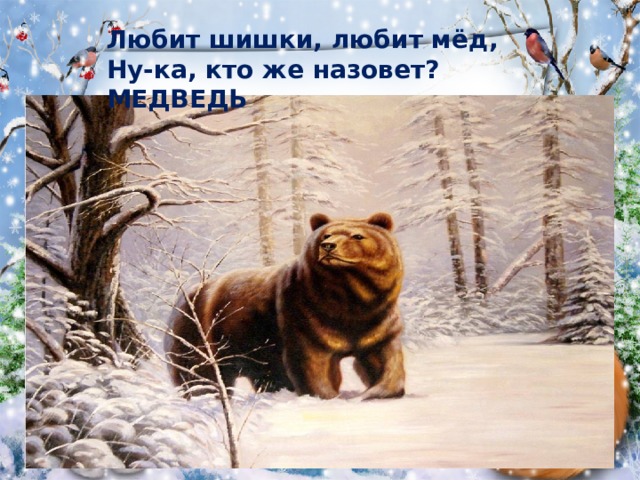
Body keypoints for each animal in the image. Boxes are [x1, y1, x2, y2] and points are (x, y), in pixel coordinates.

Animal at [164, 212, 405, 400]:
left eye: (358, 235)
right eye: (326, 234)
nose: (328, 246)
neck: (350, 298)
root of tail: (183, 297)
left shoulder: (377, 321)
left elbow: (384, 357)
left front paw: (378, 390)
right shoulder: (305, 314)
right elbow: (311, 361)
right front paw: (325, 394)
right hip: (200, 333)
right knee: (200, 373)